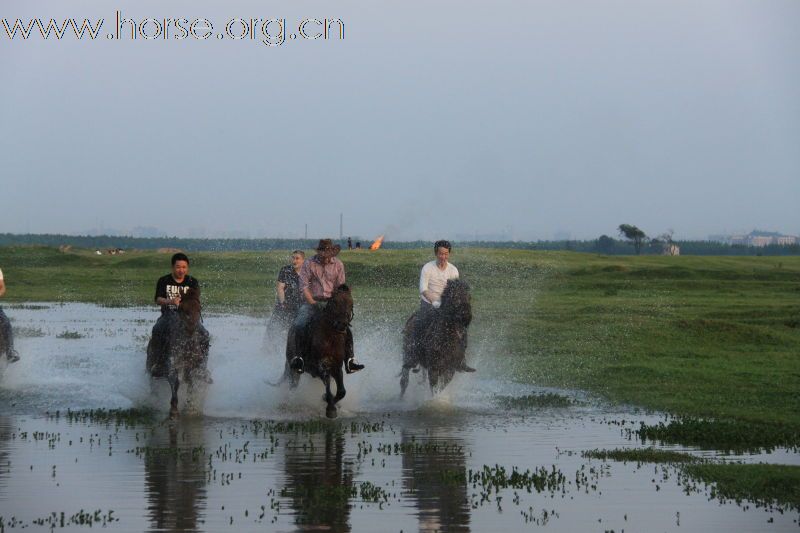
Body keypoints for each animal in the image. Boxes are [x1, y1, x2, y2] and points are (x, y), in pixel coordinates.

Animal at [146, 286, 211, 416]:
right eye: (182, 308)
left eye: (199, 307)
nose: (191, 328)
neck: (187, 345)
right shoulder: (171, 366)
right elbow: (175, 382)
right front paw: (174, 408)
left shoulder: (193, 367)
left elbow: (191, 384)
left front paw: (190, 406)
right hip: (151, 367)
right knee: (153, 383)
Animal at [282, 284, 354, 418]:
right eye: (334, 302)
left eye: (351, 303)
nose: (342, 324)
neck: (330, 338)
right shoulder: (320, 366)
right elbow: (328, 383)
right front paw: (330, 408)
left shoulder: (337, 367)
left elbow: (341, 391)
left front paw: (329, 401)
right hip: (294, 368)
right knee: (293, 384)